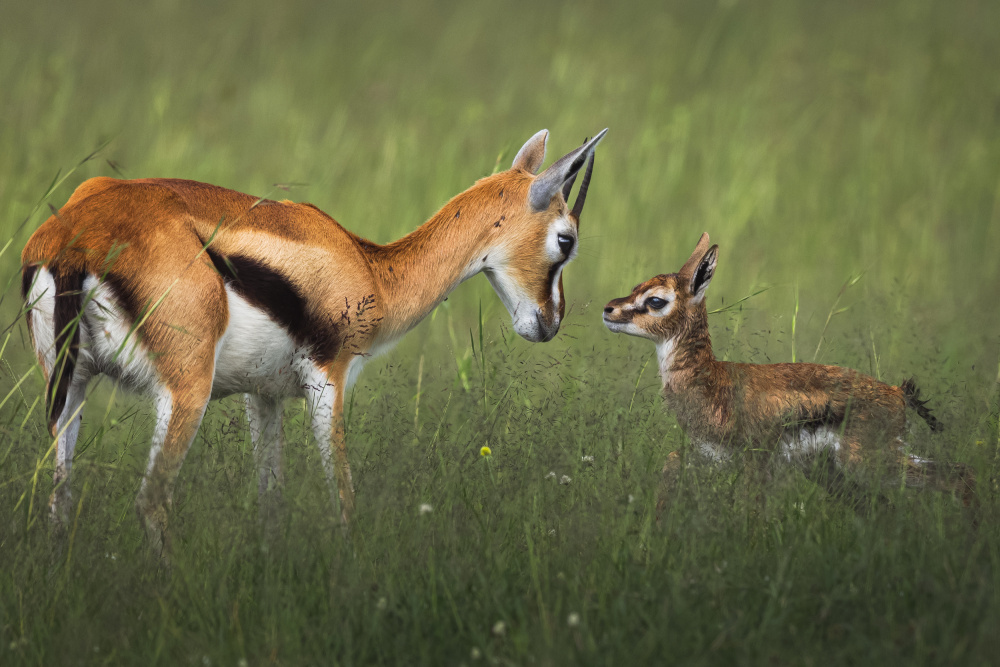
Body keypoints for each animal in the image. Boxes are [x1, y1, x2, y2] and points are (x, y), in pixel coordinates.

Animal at [21, 128, 607, 554]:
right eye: (566, 239)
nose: (549, 322)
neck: (371, 269)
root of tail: (76, 238)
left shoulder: (264, 396)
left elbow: (271, 501)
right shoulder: (328, 379)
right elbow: (343, 498)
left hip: (70, 389)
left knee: (58, 499)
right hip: (185, 390)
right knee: (150, 501)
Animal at [602, 233, 976, 519]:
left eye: (655, 300)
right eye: (638, 286)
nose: (608, 309)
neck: (714, 383)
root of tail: (899, 393)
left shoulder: (755, 462)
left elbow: (752, 514)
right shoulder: (710, 456)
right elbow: (670, 464)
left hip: (868, 462)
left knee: (959, 476)